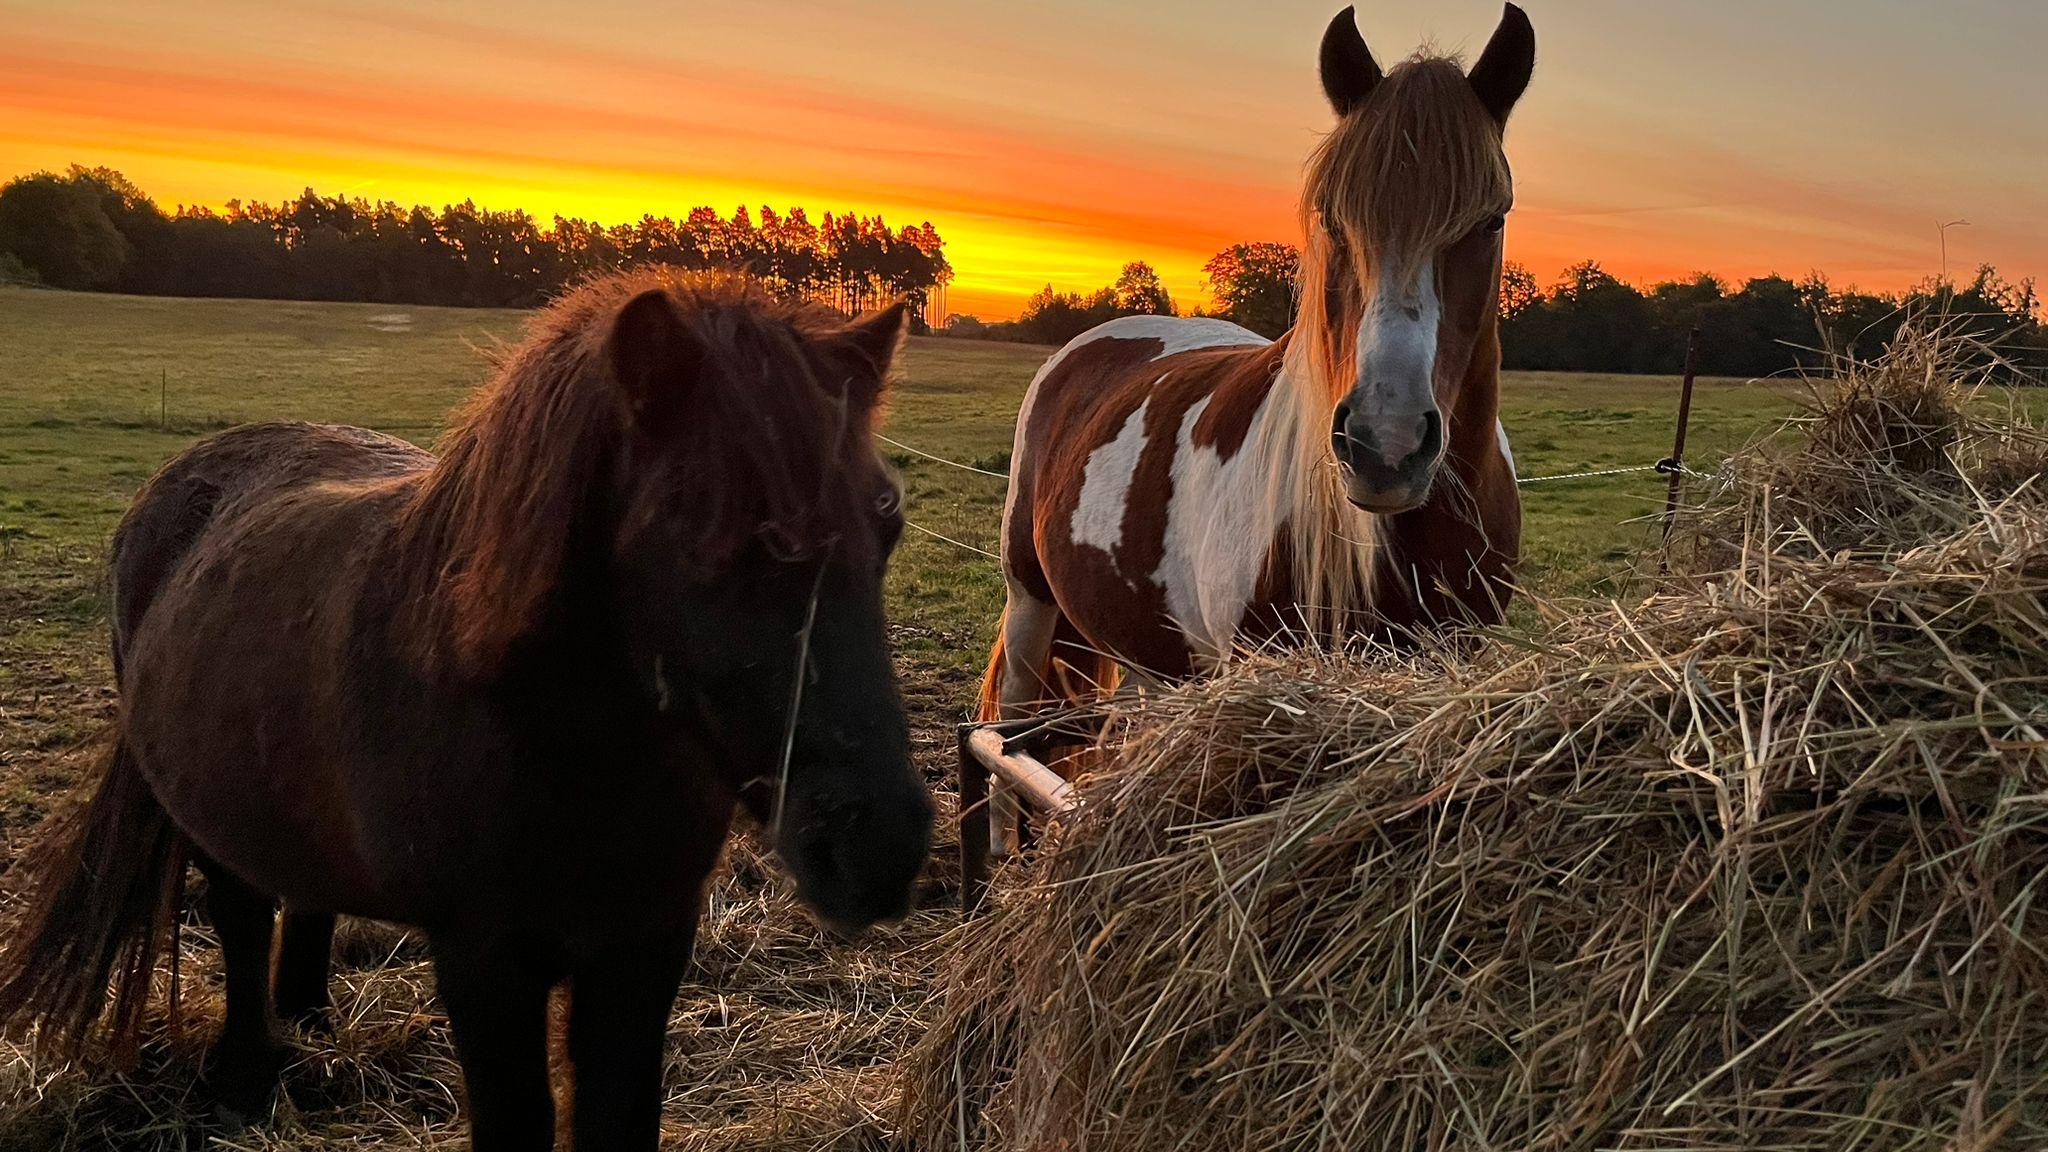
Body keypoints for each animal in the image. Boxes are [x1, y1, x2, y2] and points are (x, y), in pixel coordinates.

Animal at [0, 270, 937, 1147]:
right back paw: (243, 1076)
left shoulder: (645, 949)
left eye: (886, 528)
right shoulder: (485, 964)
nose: (878, 842)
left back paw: (309, 1023)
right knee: (240, 915)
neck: (563, 751)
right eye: (710, 534)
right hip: (204, 813)